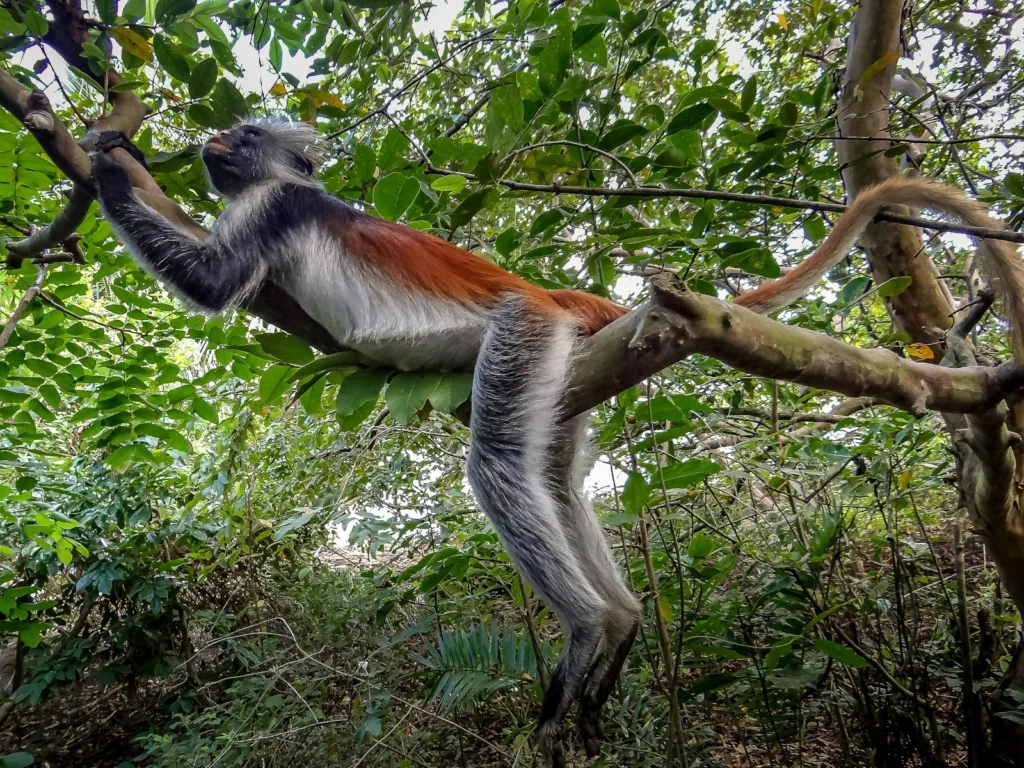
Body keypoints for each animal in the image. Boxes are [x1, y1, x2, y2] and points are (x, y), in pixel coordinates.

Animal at [89, 117, 1024, 767]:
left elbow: (213, 281)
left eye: (244, 140)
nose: (212, 141)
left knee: (502, 467)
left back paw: (589, 629)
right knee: (557, 481)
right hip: (566, 369)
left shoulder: (272, 205)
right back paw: (620, 630)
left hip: (524, 332)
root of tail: (550, 292)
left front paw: (109, 160)